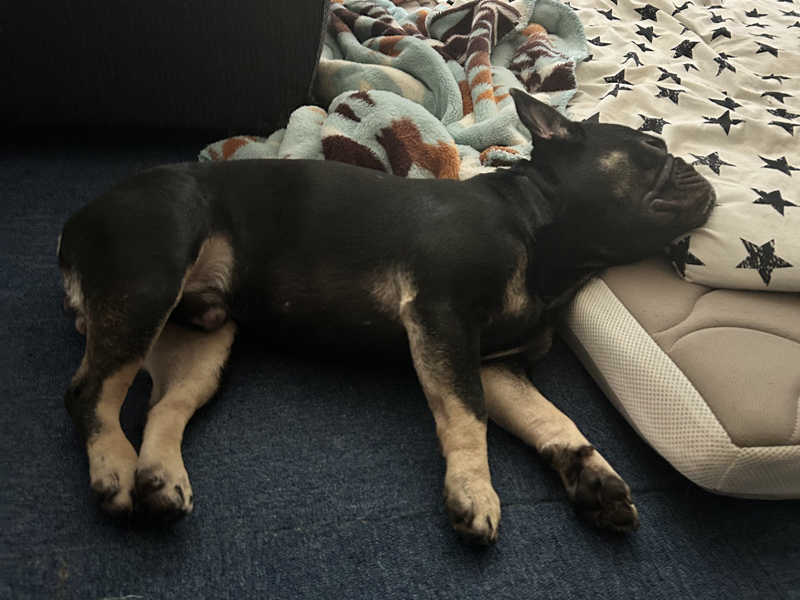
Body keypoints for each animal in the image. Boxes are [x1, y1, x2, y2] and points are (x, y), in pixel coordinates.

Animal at [58, 90, 714, 544]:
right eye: (651, 149)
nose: (697, 168)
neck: (537, 226)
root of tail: (75, 224)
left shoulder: (497, 367)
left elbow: (555, 419)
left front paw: (595, 478)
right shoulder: (442, 318)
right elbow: (467, 417)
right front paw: (474, 491)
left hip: (204, 336)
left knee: (165, 406)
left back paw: (159, 478)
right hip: (147, 284)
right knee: (90, 392)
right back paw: (115, 468)